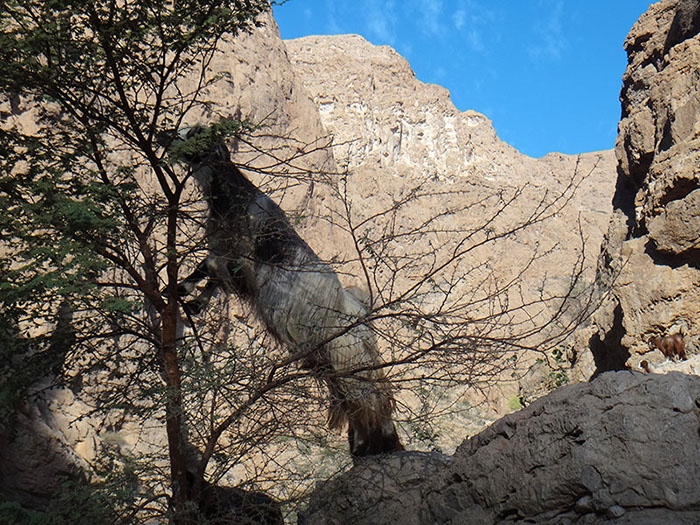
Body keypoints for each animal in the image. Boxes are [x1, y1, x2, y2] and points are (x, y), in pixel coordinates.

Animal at [161, 125, 402, 456]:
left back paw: (378, 442)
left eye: (195, 133)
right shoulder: (229, 258)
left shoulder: (241, 260)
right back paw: (366, 445)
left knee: (367, 394)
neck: (234, 199)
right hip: (327, 356)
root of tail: (359, 314)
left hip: (345, 353)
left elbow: (209, 267)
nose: (163, 135)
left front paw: (183, 290)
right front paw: (191, 299)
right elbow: (211, 274)